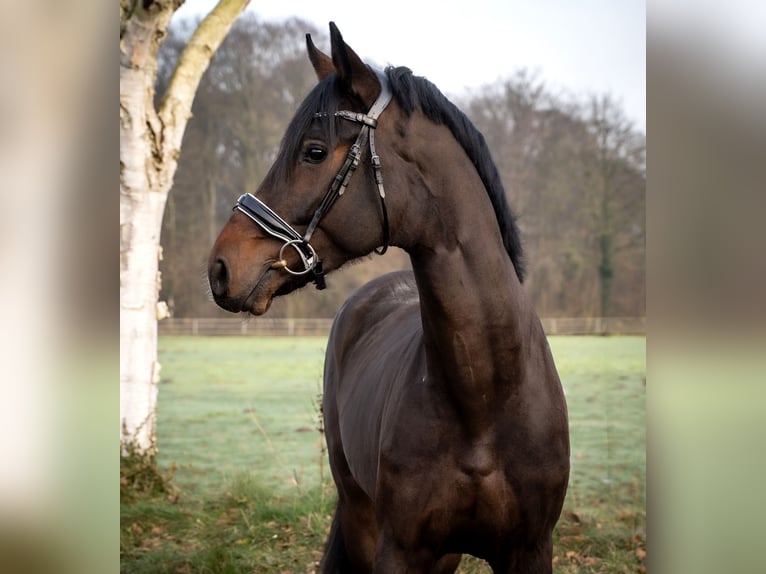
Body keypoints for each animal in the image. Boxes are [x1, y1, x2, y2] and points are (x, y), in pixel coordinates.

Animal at [208, 22, 568, 574]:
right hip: (361, 515)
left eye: (314, 151)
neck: (483, 400)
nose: (220, 267)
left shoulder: (529, 551)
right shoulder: (399, 547)